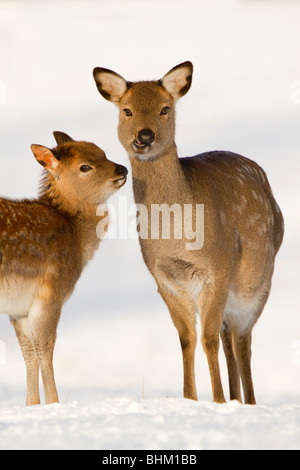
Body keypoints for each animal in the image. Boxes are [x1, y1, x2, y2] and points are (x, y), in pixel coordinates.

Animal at [0, 131, 127, 404]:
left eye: (103, 153)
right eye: (85, 167)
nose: (122, 169)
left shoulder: (18, 308)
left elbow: (29, 353)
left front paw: (32, 405)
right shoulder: (51, 292)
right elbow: (45, 349)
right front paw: (54, 403)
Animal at [93, 60, 284, 406]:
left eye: (165, 108)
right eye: (127, 110)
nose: (144, 135)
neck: (177, 238)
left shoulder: (217, 269)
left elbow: (207, 338)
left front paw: (217, 401)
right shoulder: (164, 279)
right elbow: (187, 338)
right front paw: (191, 399)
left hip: (258, 280)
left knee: (241, 337)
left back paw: (247, 401)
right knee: (228, 334)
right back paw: (237, 398)